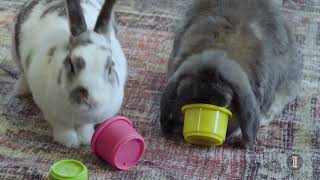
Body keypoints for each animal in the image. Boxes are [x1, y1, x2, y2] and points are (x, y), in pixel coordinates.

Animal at [12, 0, 127, 148]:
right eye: (71, 65)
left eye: (110, 67)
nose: (92, 100)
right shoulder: (50, 110)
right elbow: (63, 126)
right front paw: (69, 142)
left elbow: (86, 126)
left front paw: (85, 138)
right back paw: (20, 89)